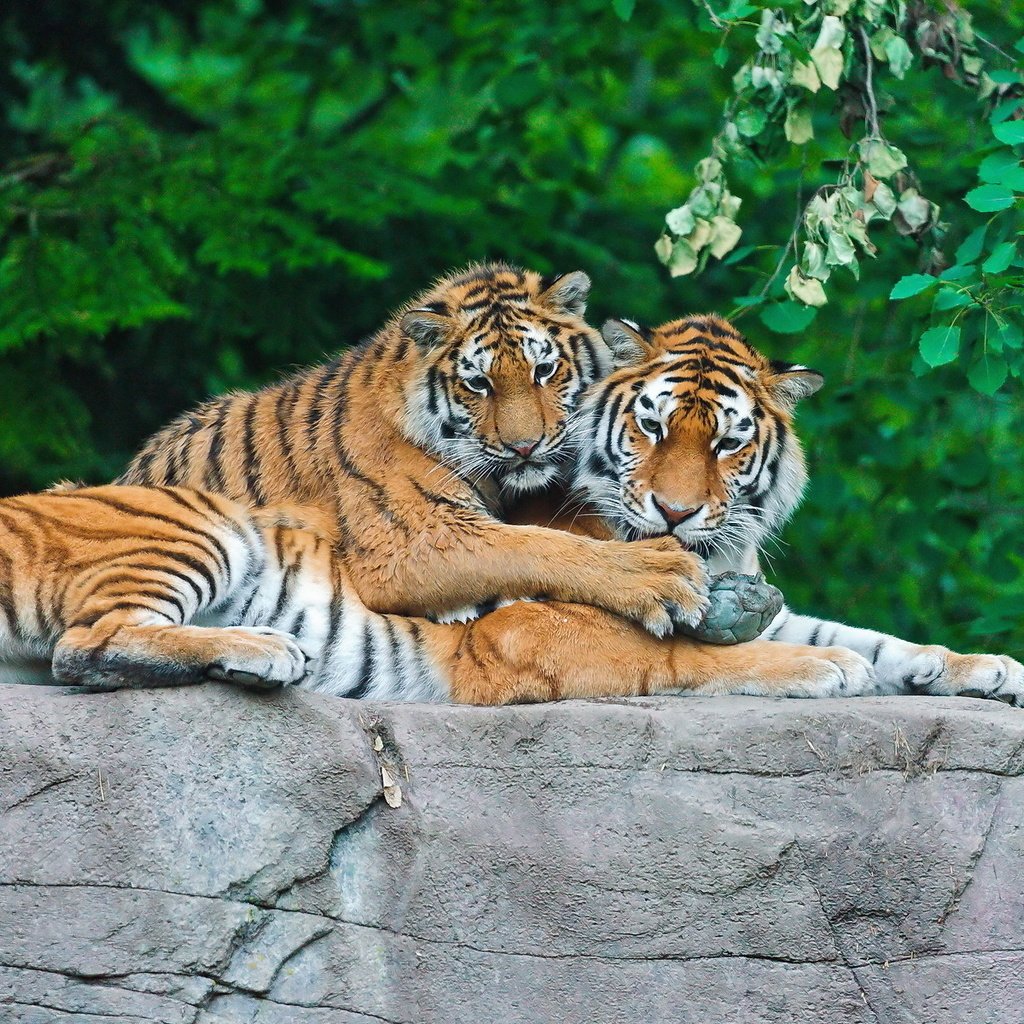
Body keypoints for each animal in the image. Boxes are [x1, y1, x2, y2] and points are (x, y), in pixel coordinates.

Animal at [117, 260, 712, 638]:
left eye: (544, 370)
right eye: (479, 384)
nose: (525, 447)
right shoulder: (414, 540)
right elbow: (538, 547)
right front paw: (660, 575)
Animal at [561, 315, 1024, 708]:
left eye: (728, 443)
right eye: (652, 426)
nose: (675, 513)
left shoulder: (778, 615)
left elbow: (869, 639)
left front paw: (990, 669)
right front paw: (831, 666)